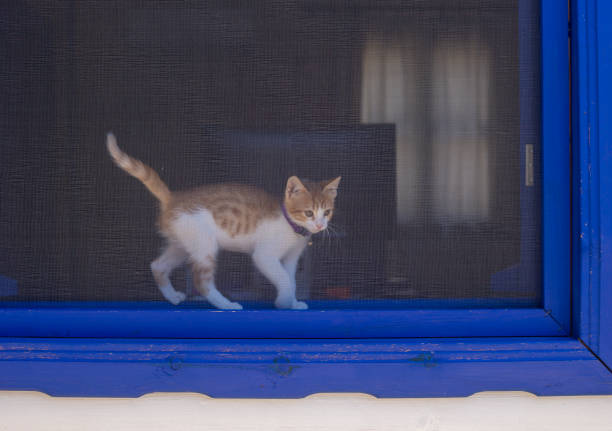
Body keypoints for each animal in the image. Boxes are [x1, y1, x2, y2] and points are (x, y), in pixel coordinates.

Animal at [107, 134, 342, 310]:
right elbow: (283, 279)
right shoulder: (265, 256)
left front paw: (293, 303)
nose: (320, 225)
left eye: (327, 212)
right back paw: (226, 304)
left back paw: (172, 296)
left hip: (183, 243)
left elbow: (291, 279)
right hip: (205, 246)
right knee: (202, 282)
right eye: (309, 213)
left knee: (158, 265)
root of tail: (173, 198)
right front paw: (283, 301)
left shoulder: (291, 258)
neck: (291, 227)